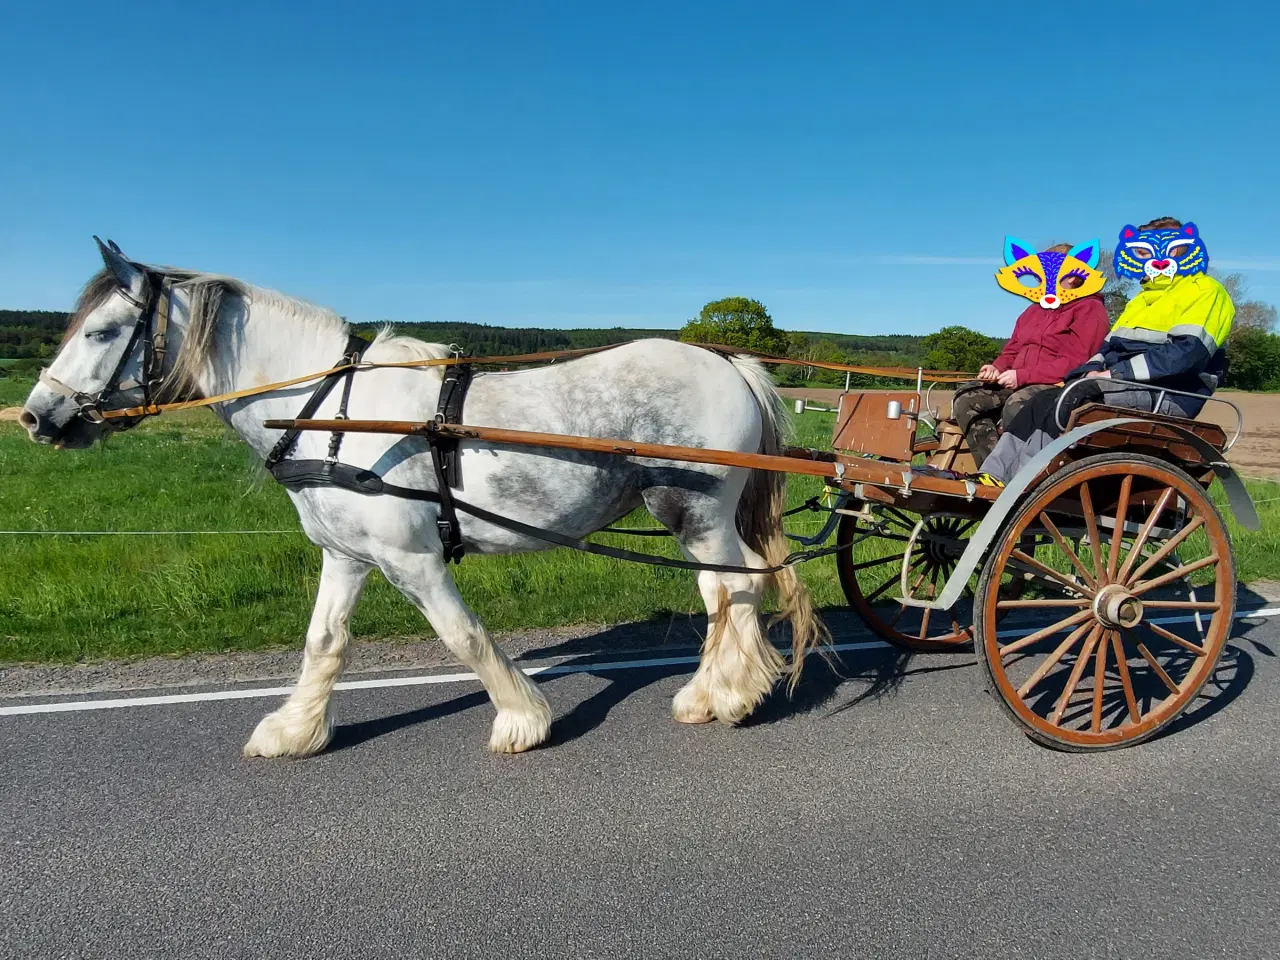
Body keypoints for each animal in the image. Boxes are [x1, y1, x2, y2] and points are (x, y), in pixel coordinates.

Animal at [20, 240, 824, 757]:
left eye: (103, 330)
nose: (34, 416)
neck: (330, 410)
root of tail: (727, 360)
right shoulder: (346, 555)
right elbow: (323, 641)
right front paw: (295, 731)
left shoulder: (412, 559)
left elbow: (462, 635)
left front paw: (522, 720)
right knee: (724, 591)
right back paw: (715, 691)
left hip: (695, 510)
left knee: (733, 590)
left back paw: (727, 695)